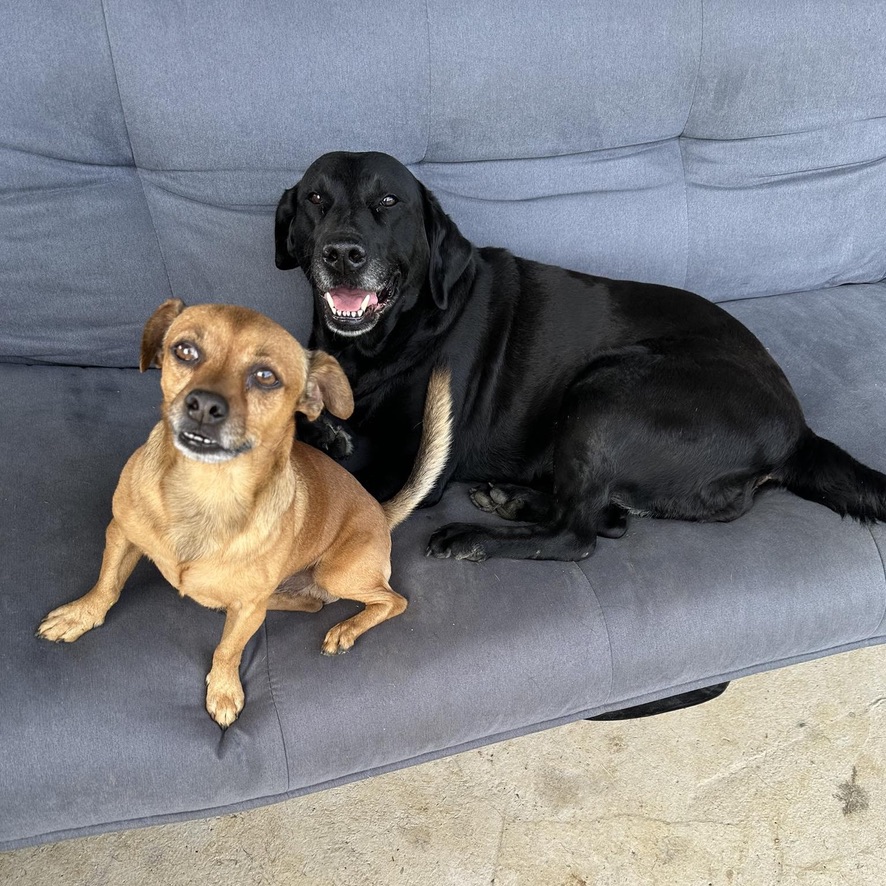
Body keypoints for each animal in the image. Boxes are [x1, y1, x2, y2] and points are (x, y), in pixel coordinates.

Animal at [36, 302, 450, 732]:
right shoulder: (121, 533)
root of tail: (380, 509)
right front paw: (81, 616)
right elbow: (107, 586)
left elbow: (228, 649)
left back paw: (346, 629)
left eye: (266, 377)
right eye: (185, 351)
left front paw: (222, 690)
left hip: (335, 573)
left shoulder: (244, 611)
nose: (203, 405)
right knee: (309, 604)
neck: (206, 490)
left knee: (393, 600)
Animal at [276, 152, 886, 560]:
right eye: (315, 199)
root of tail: (799, 430)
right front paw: (323, 427)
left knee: (582, 536)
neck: (378, 343)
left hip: (605, 390)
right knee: (606, 517)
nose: (342, 253)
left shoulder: (413, 459)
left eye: (387, 202)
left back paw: (475, 536)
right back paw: (513, 499)